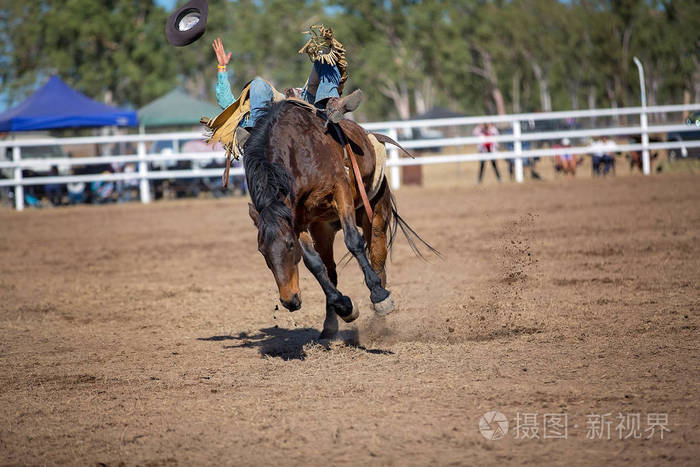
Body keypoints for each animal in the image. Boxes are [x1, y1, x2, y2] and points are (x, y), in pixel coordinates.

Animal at [243, 99, 434, 340]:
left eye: (289, 245)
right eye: (262, 251)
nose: (289, 301)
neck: (297, 152)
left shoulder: (340, 189)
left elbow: (353, 241)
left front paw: (378, 295)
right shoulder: (298, 219)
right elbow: (313, 263)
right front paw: (345, 306)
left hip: (376, 216)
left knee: (378, 261)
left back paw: (380, 309)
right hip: (323, 229)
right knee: (330, 269)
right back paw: (331, 324)